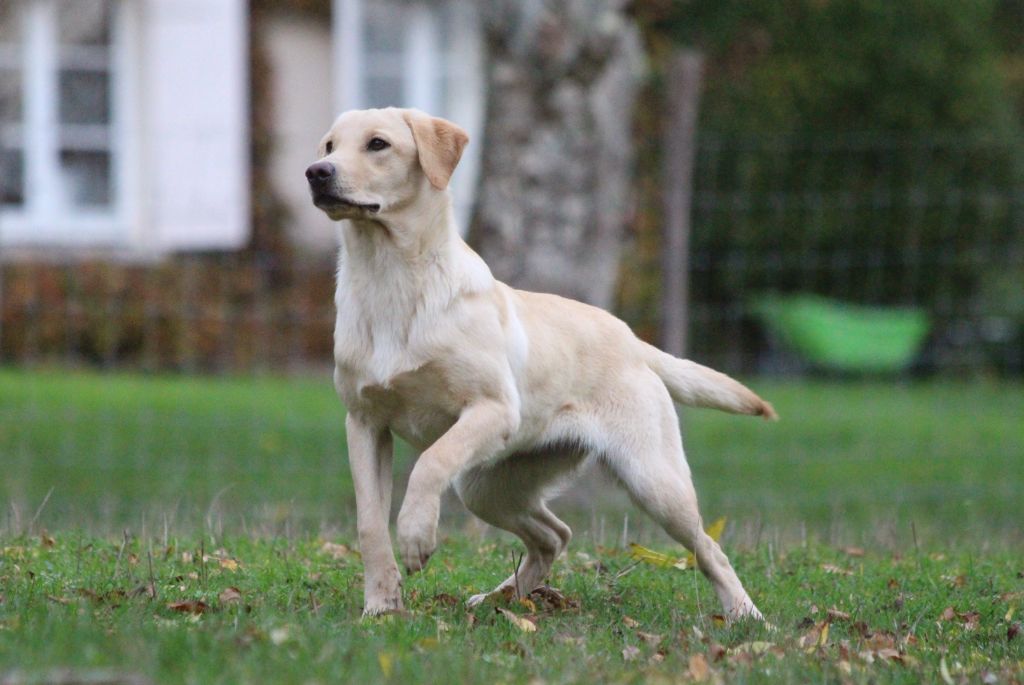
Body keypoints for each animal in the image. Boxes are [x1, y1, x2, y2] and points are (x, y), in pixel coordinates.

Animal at [305, 106, 774, 618]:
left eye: (378, 144)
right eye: (329, 146)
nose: (316, 173)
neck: (390, 280)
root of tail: (632, 339)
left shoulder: (492, 408)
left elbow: (430, 460)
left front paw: (415, 536)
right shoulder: (364, 423)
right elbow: (370, 523)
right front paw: (381, 608)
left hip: (652, 478)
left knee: (707, 548)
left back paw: (747, 616)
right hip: (489, 486)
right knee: (554, 535)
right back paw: (499, 598)